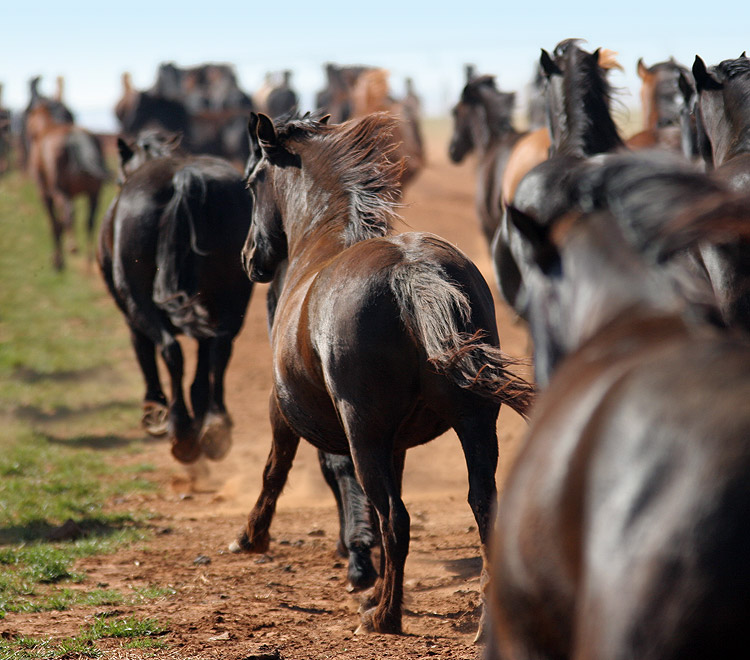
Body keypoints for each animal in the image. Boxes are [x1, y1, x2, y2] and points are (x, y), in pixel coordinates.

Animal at [26, 103, 110, 268]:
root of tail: (75, 137)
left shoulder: (45, 194)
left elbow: (55, 224)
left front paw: (57, 259)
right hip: (94, 193)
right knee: (90, 221)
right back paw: (88, 259)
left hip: (60, 191)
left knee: (69, 214)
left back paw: (72, 247)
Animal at [235, 111, 536, 636]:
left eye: (252, 182)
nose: (250, 258)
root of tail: (411, 275)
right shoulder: (396, 443)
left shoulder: (283, 408)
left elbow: (276, 468)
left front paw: (251, 537)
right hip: (474, 421)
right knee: (481, 505)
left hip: (364, 432)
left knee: (396, 517)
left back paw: (384, 617)